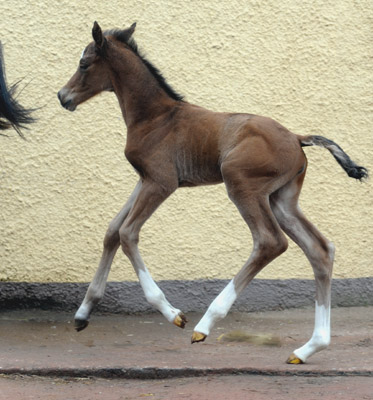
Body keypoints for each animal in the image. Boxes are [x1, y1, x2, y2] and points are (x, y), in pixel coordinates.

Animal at [58, 22, 366, 366]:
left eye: (84, 64)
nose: (63, 96)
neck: (155, 117)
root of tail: (297, 138)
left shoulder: (160, 182)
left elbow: (127, 233)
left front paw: (173, 314)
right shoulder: (144, 180)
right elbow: (112, 231)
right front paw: (83, 314)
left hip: (241, 183)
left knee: (270, 242)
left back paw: (205, 324)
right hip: (281, 199)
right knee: (320, 249)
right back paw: (308, 348)